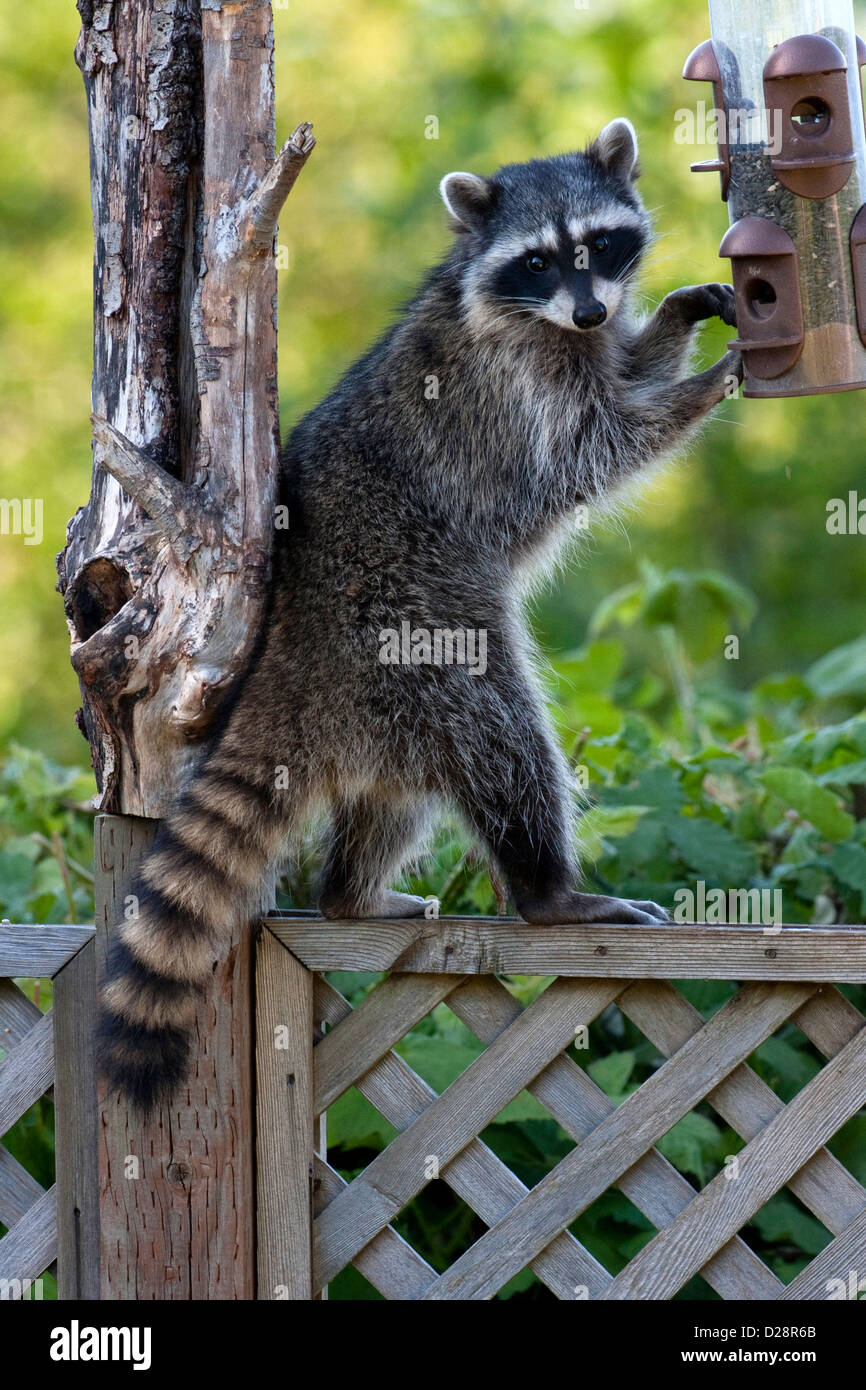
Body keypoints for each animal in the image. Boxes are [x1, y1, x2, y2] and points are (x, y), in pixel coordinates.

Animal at [96, 119, 741, 1110]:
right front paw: (701, 385)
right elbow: (596, 448)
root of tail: (286, 656)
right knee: (506, 739)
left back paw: (352, 892)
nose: (593, 315)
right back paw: (547, 890)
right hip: (418, 626)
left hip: (389, 702)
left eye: (599, 246)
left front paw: (673, 321)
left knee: (403, 797)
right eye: (537, 261)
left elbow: (624, 374)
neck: (534, 313)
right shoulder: (515, 388)